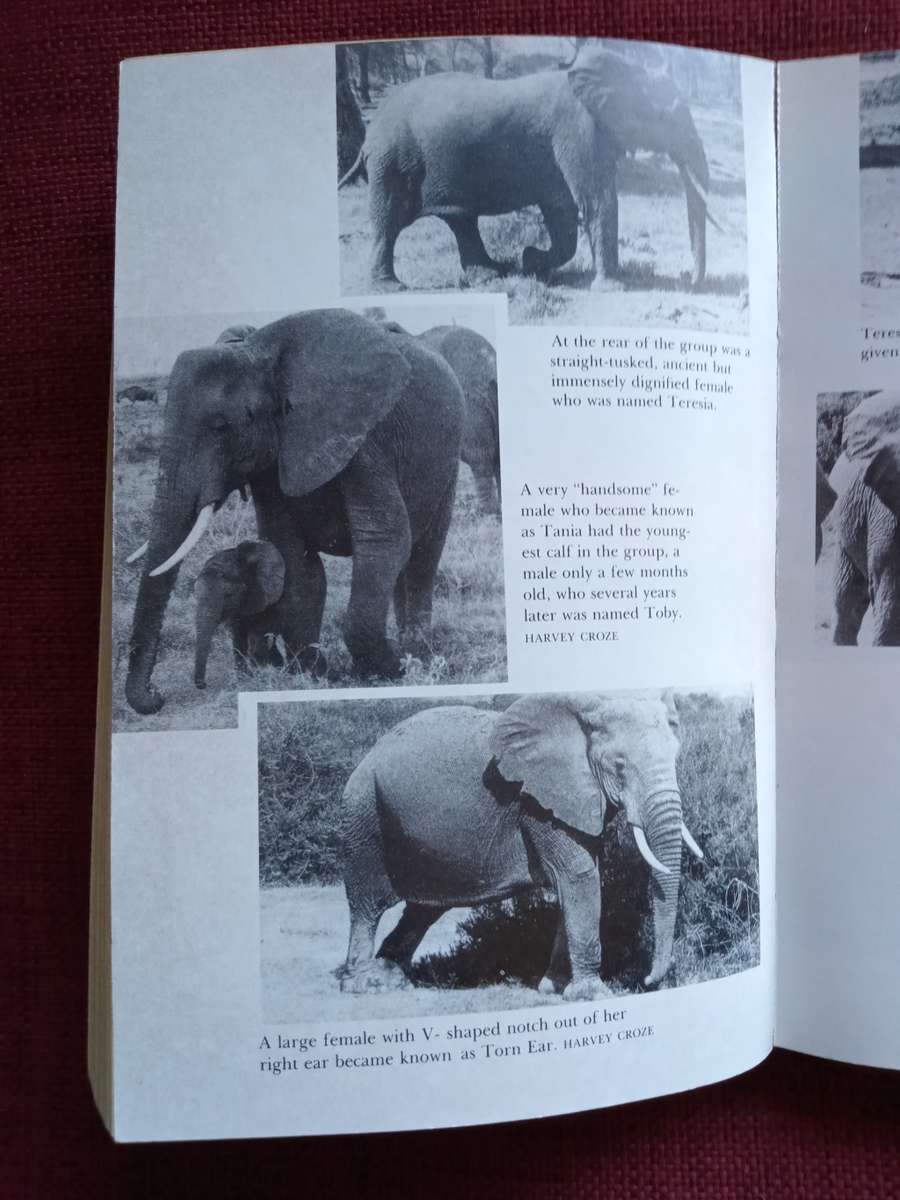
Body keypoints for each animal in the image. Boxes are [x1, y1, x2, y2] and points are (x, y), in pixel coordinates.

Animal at [193, 540, 286, 689]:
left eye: (229, 595)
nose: (203, 684)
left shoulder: (270, 600)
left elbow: (258, 638)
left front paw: (256, 678)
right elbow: (238, 640)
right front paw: (244, 680)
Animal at [339, 45, 712, 291]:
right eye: (666, 117)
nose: (689, 281)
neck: (624, 68)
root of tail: (370, 134)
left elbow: (562, 208)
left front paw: (531, 262)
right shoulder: (577, 129)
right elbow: (595, 200)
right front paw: (610, 289)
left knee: (461, 220)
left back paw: (493, 274)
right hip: (392, 162)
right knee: (389, 221)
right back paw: (391, 288)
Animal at [339, 692, 703, 999]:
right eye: (619, 765)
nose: (650, 980)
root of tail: (371, 751)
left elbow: (582, 879)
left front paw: (553, 987)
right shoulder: (537, 801)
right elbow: (579, 877)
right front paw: (592, 994)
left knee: (424, 909)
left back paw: (391, 977)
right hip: (364, 810)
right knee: (367, 901)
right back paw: (365, 984)